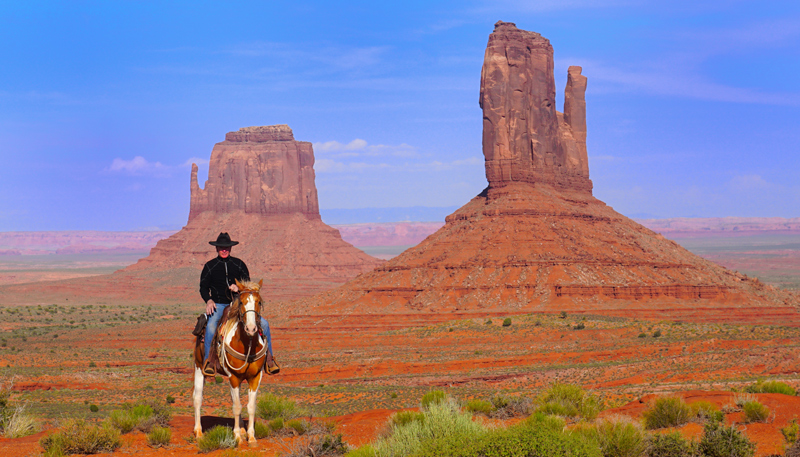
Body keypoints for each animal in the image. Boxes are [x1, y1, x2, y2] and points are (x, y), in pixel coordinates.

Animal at [192, 278, 268, 442]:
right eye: (241, 302)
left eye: (259, 302)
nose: (251, 328)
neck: (247, 344)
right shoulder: (233, 376)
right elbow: (237, 407)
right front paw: (237, 437)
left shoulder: (255, 376)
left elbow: (250, 406)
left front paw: (251, 437)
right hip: (199, 367)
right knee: (197, 398)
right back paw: (198, 432)